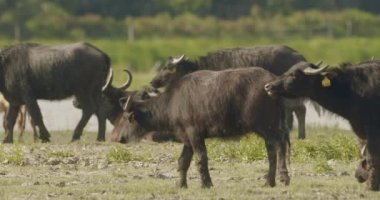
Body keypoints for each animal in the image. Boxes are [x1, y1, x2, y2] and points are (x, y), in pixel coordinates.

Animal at [123, 68, 290, 188]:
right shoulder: (187, 139)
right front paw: (181, 184)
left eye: (126, 118)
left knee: (280, 145)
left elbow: (201, 158)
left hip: (266, 126)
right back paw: (269, 182)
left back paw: (284, 178)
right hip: (267, 129)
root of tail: (271, 83)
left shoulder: (195, 134)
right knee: (271, 151)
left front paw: (206, 183)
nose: (121, 138)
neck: (174, 101)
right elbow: (183, 161)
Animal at [266, 59, 380, 191]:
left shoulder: (372, 130)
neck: (353, 90)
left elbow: (372, 156)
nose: (268, 86)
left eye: (294, 75)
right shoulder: (360, 131)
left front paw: (371, 185)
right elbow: (364, 153)